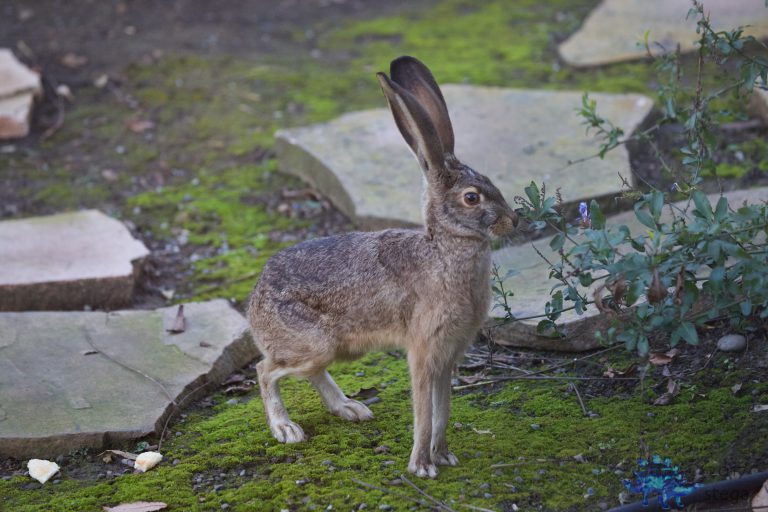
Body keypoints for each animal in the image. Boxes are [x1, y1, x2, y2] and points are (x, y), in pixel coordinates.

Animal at [247, 56, 518, 478]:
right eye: (472, 197)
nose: (514, 221)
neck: (445, 249)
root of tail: (255, 300)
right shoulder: (424, 351)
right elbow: (424, 411)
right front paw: (421, 466)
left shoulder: (448, 355)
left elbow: (443, 410)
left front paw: (443, 456)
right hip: (313, 344)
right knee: (264, 370)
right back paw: (286, 428)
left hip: (334, 350)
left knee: (306, 372)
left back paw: (350, 408)